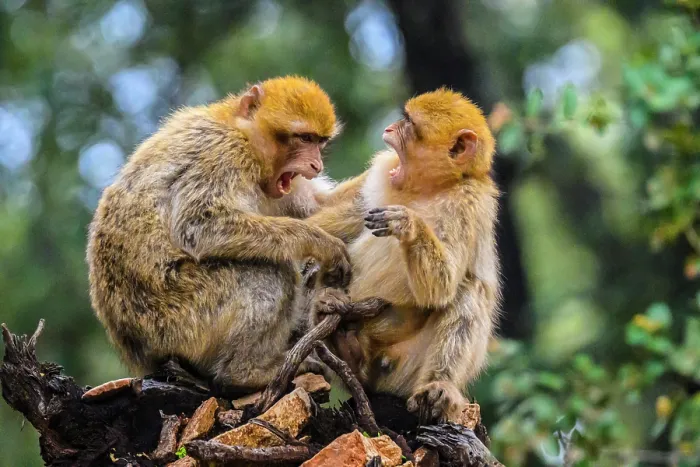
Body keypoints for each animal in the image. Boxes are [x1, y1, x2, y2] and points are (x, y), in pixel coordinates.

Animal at [87, 76, 352, 392]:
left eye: (319, 142)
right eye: (304, 139)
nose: (316, 165)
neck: (243, 133)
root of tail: (140, 353)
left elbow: (322, 205)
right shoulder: (223, 152)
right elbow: (199, 227)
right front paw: (318, 241)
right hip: (179, 319)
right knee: (270, 272)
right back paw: (245, 373)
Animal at [305, 88, 501, 423]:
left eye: (409, 123)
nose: (390, 127)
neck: (429, 189)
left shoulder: (469, 204)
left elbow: (442, 287)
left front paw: (408, 224)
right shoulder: (383, 172)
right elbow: (352, 214)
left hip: (403, 369)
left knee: (468, 289)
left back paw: (437, 386)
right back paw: (340, 333)